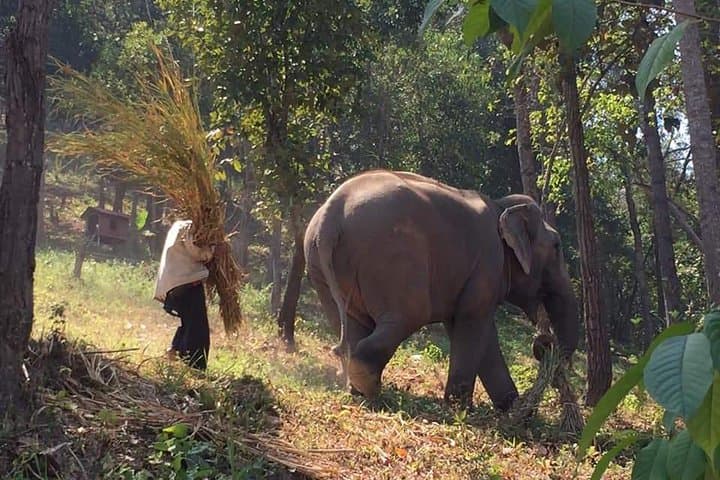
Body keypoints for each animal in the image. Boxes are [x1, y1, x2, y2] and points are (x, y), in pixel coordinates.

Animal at [303, 170, 579, 411]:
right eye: (556, 246)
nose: (543, 343)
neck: (501, 206)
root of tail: (331, 215)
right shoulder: (487, 263)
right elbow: (475, 323)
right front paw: (461, 408)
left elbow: (470, 329)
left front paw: (509, 407)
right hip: (392, 258)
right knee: (409, 315)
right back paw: (371, 389)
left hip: (320, 266)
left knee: (353, 324)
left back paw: (357, 390)